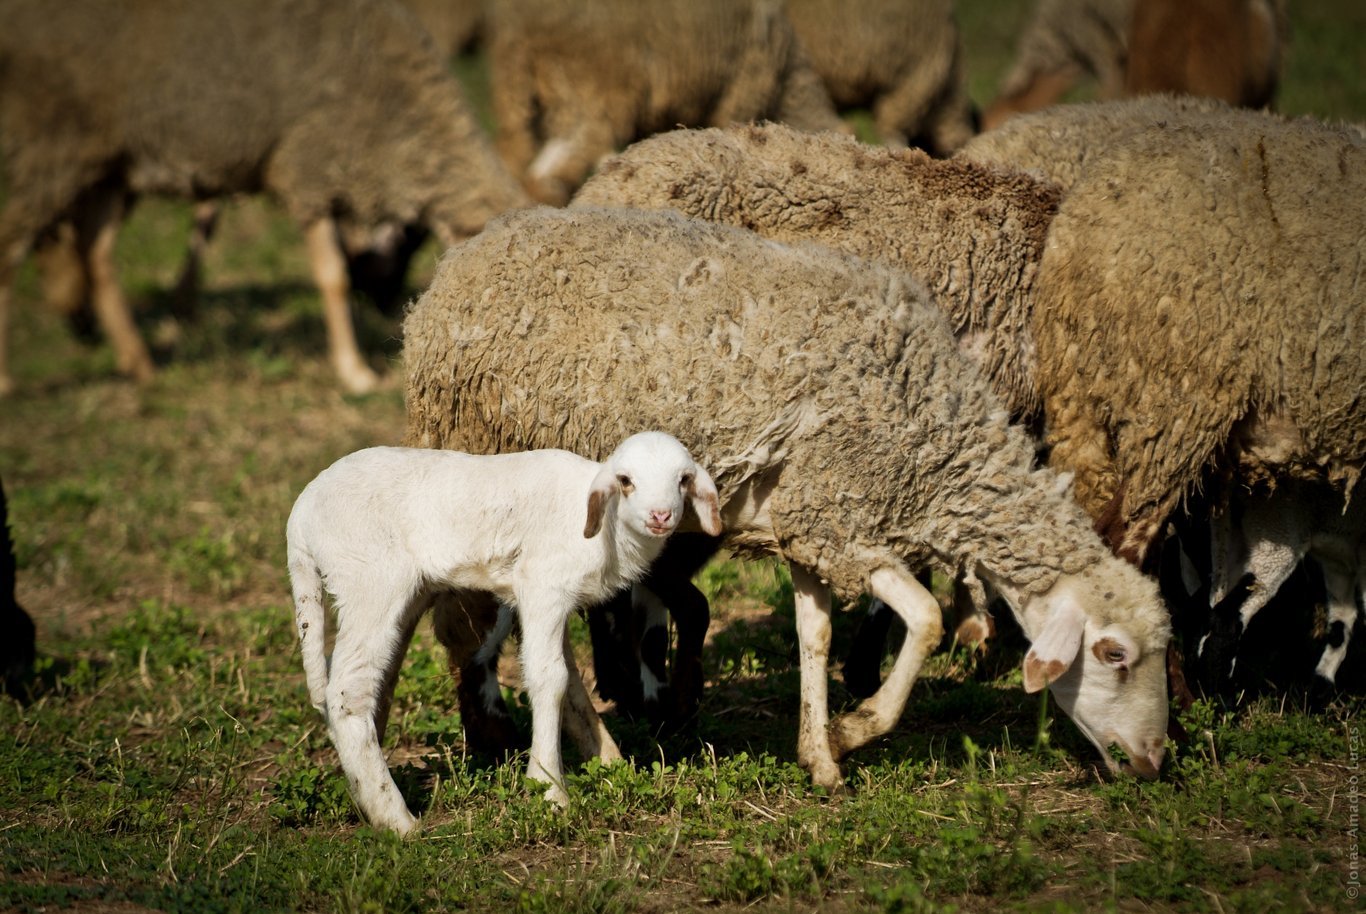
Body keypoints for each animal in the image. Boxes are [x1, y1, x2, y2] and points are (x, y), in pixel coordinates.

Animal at [0, 0, 529, 397]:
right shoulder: (308, 170)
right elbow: (333, 278)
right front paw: (355, 372)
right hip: (53, 144)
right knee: (10, 248)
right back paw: (10, 380)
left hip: (108, 163)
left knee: (97, 253)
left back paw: (140, 364)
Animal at [286, 431, 722, 834]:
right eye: (626, 480)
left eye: (684, 479)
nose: (661, 516)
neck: (605, 528)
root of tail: (300, 517)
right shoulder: (542, 586)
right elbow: (550, 678)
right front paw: (549, 789)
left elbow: (571, 682)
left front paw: (608, 763)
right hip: (370, 581)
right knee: (347, 692)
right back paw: (396, 820)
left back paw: (364, 796)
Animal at [404, 205, 1173, 791]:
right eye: (1113, 654)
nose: (1152, 761)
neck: (934, 443)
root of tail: (444, 281)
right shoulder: (839, 518)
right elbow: (925, 619)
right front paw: (856, 729)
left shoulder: (811, 525)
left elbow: (816, 634)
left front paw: (820, 757)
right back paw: (552, 744)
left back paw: (601, 749)